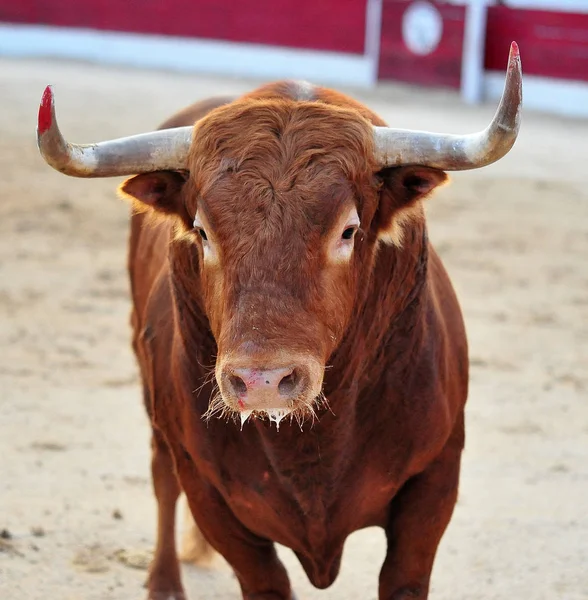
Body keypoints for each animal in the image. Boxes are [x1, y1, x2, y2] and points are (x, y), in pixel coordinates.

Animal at [38, 43, 524, 600]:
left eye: (349, 230)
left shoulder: (435, 481)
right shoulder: (208, 489)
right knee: (162, 475)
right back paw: (164, 580)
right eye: (202, 231)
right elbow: (261, 575)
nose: (262, 381)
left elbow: (403, 577)